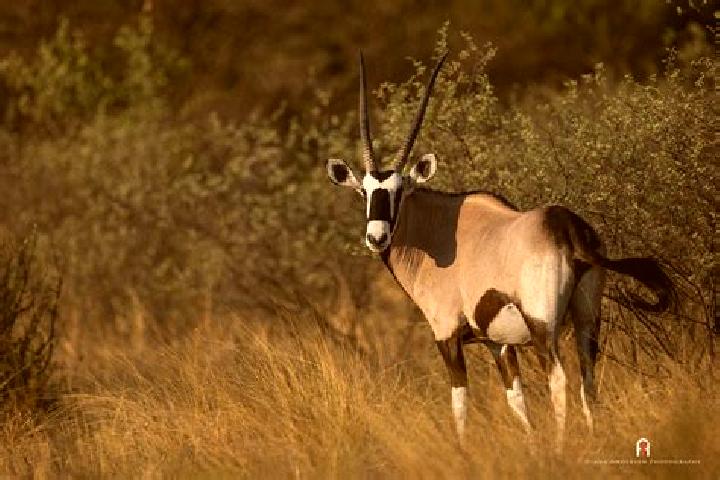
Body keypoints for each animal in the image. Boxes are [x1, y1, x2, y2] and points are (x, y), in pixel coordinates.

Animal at [326, 53, 673, 446]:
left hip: (543, 326)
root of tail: (565, 225)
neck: (438, 230)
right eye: (364, 192)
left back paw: (560, 446)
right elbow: (517, 401)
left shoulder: (447, 335)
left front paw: (462, 450)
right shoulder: (498, 343)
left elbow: (460, 403)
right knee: (588, 381)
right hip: (587, 319)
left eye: (399, 191)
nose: (377, 237)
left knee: (559, 380)